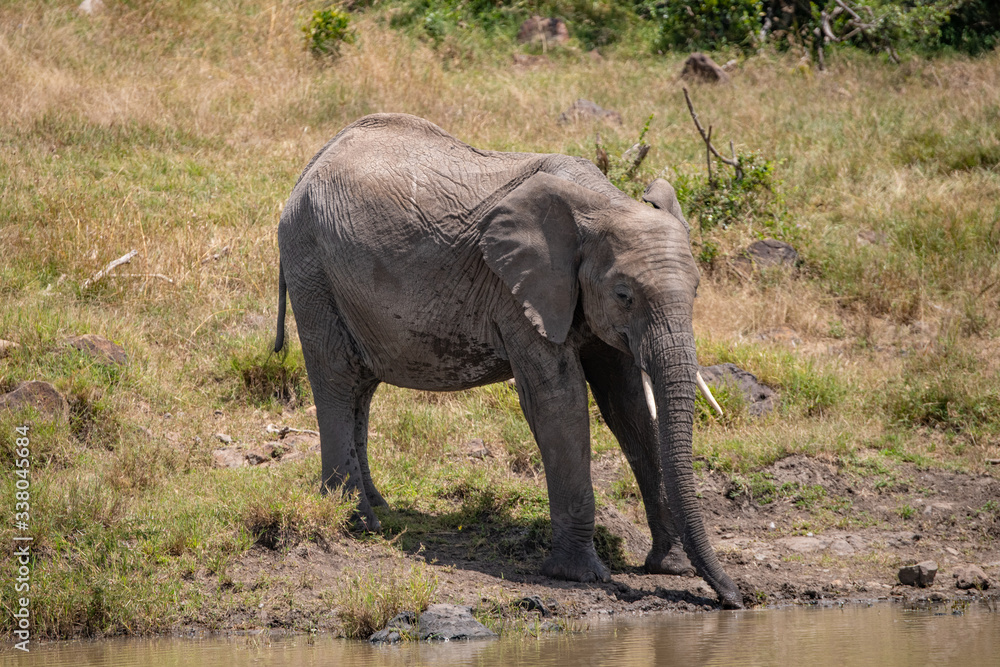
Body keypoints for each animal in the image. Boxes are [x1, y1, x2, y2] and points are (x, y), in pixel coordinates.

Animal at [274, 113, 744, 612]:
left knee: (362, 388)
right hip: (312, 268)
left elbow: (629, 406)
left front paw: (669, 566)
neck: (602, 204)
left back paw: (378, 506)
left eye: (696, 290)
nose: (735, 599)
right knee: (338, 378)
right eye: (624, 295)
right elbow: (559, 401)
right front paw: (579, 576)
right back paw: (359, 522)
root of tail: (309, 167)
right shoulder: (517, 290)